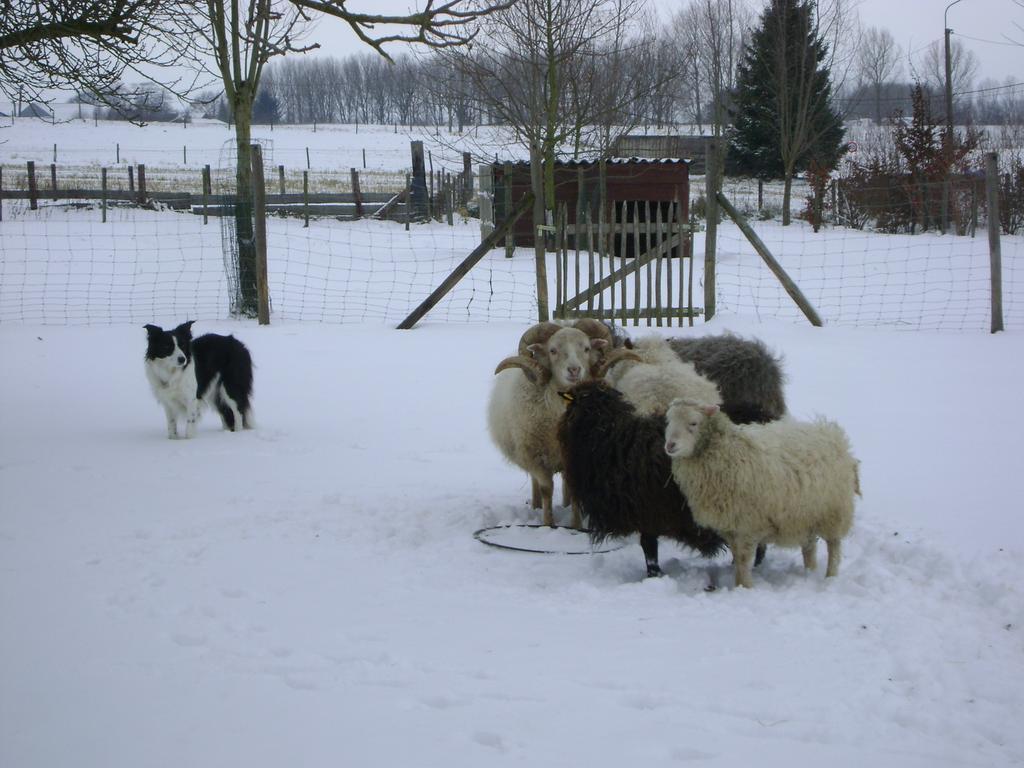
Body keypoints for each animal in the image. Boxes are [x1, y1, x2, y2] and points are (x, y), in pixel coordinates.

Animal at [659, 397, 860, 589]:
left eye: (693, 423)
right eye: (668, 421)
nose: (670, 445)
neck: (727, 451)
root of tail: (831, 432)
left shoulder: (747, 525)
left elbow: (743, 559)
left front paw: (744, 587)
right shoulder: (731, 526)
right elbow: (737, 557)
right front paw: (739, 583)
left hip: (833, 512)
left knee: (834, 547)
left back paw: (830, 577)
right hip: (806, 514)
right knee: (809, 547)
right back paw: (808, 573)